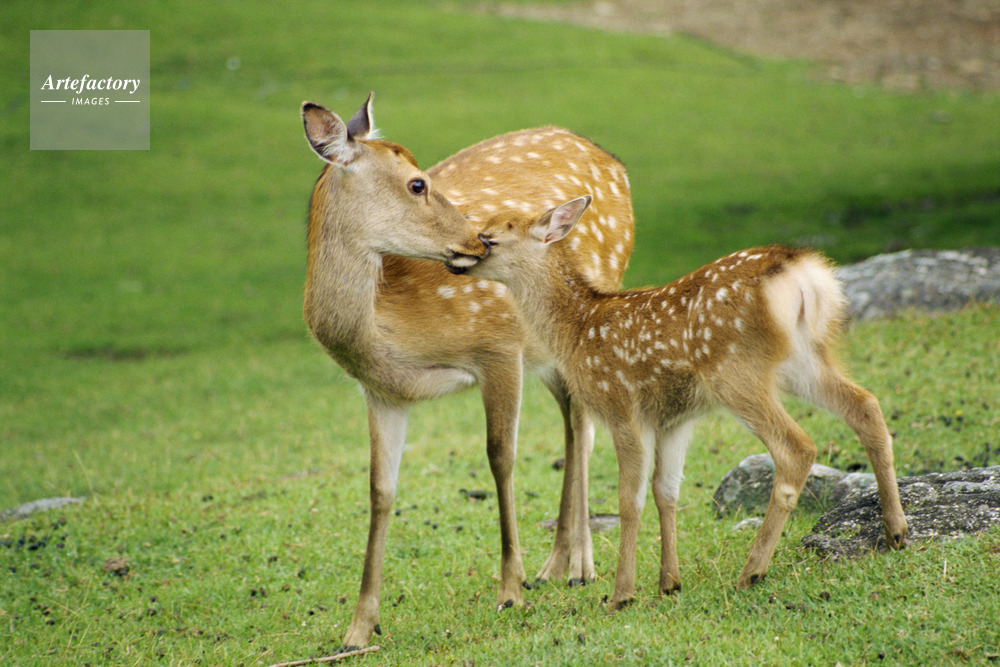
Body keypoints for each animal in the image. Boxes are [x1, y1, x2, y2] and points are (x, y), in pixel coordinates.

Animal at [301, 95, 634, 648]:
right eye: (417, 184)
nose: (476, 241)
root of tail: (613, 161)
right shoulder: (381, 393)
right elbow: (379, 491)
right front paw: (359, 627)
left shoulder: (498, 347)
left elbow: (501, 457)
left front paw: (510, 590)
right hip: (546, 352)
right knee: (573, 426)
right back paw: (556, 564)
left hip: (584, 308)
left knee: (583, 426)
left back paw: (578, 567)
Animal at [447, 195, 909, 610]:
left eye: (489, 238)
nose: (456, 257)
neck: (577, 330)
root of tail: (801, 274)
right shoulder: (673, 419)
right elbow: (665, 491)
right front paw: (669, 582)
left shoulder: (622, 403)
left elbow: (628, 500)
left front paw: (621, 594)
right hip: (805, 359)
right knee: (865, 405)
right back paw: (896, 531)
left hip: (736, 371)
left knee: (796, 446)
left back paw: (752, 571)